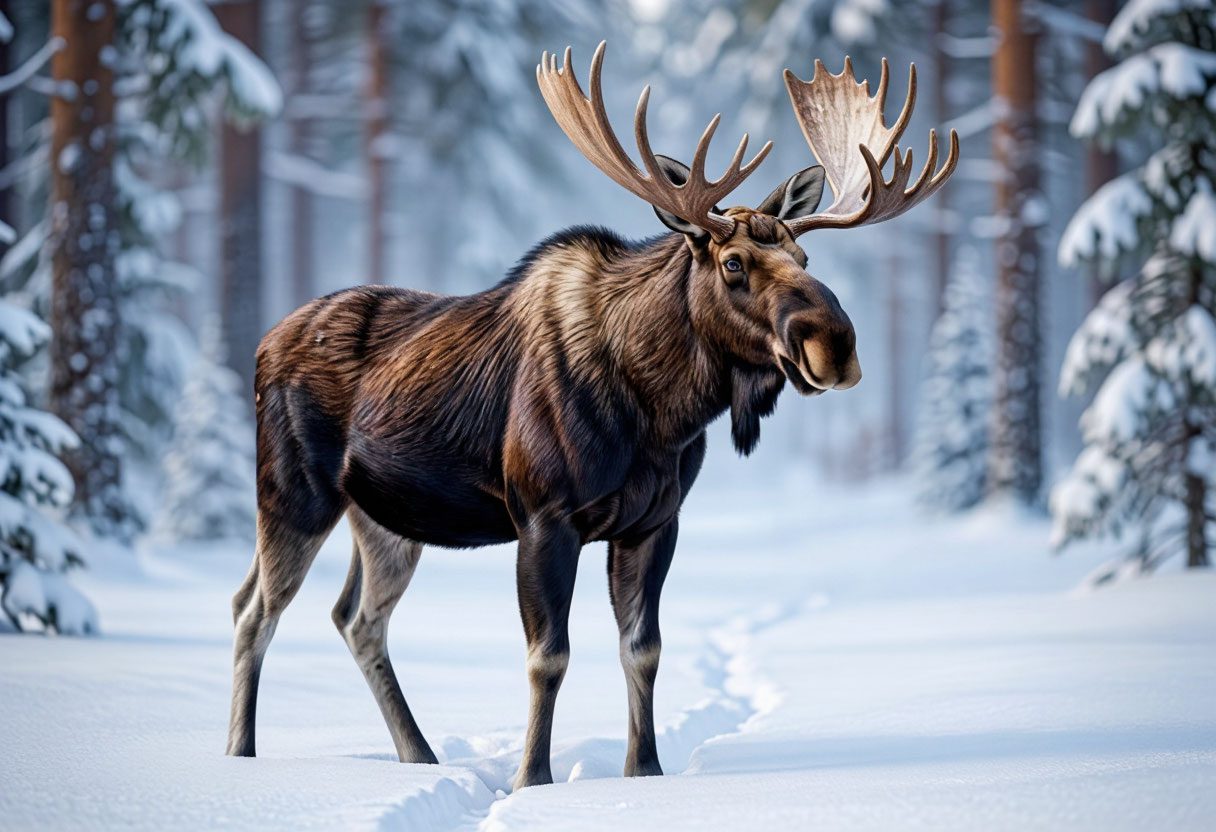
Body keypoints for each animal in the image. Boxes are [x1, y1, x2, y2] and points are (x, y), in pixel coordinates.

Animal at [226, 42, 957, 790]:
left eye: (805, 256)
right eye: (733, 262)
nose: (835, 344)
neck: (660, 412)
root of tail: (261, 345)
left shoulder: (653, 522)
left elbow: (644, 649)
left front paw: (645, 771)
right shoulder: (545, 516)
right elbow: (549, 656)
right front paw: (533, 779)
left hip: (385, 517)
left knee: (355, 618)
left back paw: (419, 757)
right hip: (293, 493)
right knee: (255, 609)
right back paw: (241, 756)